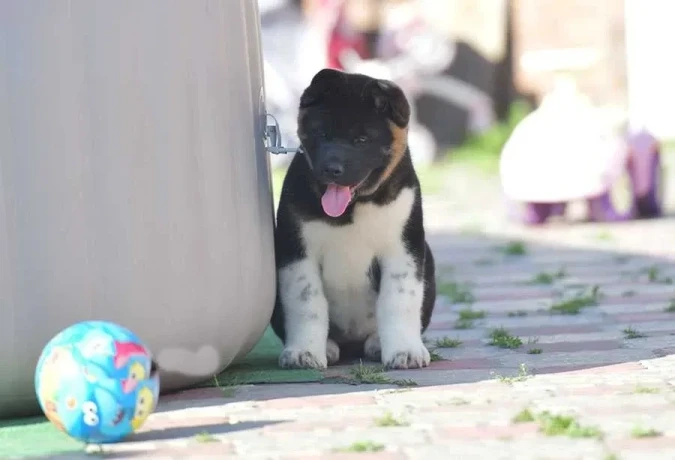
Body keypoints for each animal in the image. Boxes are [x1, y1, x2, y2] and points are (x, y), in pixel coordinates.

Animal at [270, 69, 436, 370]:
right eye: (322, 134)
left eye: (362, 140)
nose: (332, 169)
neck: (353, 208)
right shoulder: (296, 253)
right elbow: (307, 304)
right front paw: (304, 352)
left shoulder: (403, 251)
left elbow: (398, 301)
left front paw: (405, 351)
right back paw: (329, 347)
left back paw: (377, 343)